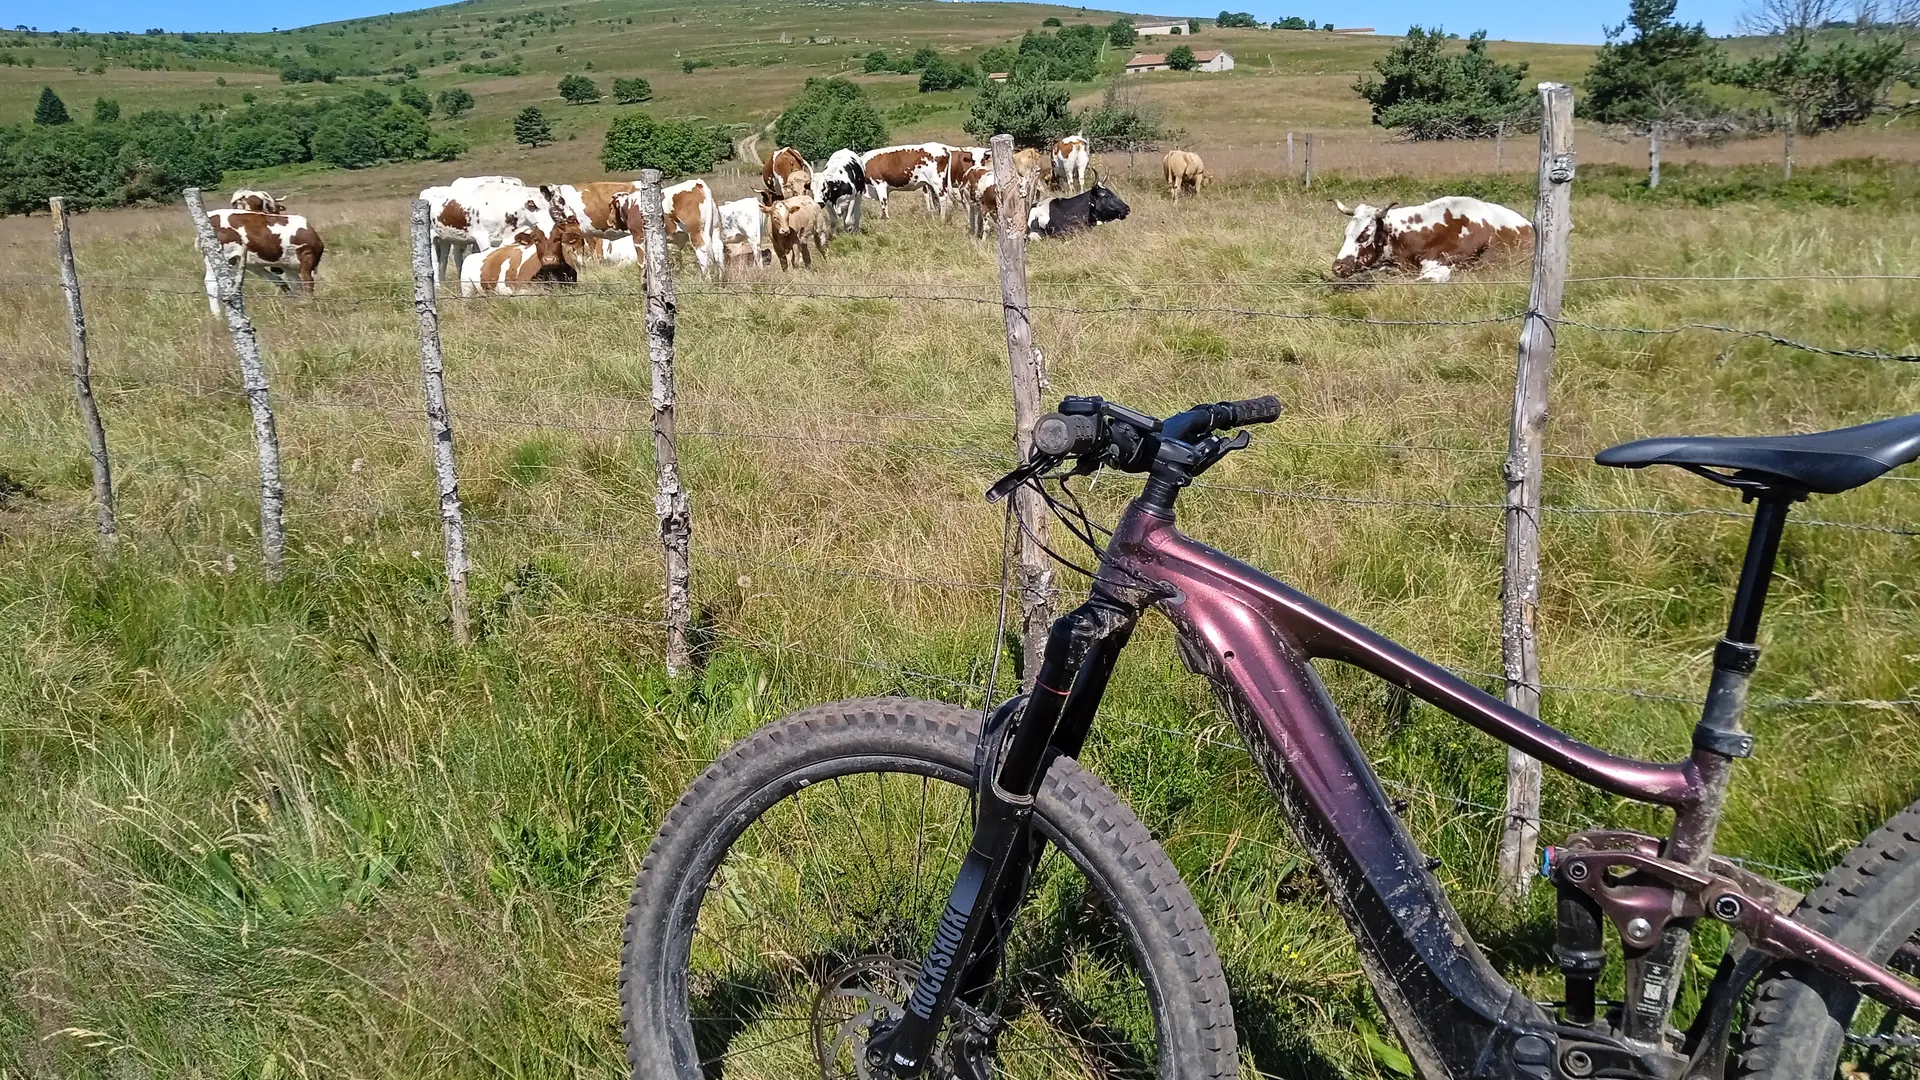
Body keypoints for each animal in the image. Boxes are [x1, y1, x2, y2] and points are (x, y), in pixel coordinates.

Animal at [421, 178, 563, 282]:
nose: (550, 226)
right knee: (434, 263)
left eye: (550, 206)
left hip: (446, 239)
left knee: (443, 262)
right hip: (430, 238)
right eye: (534, 206)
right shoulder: (482, 238)